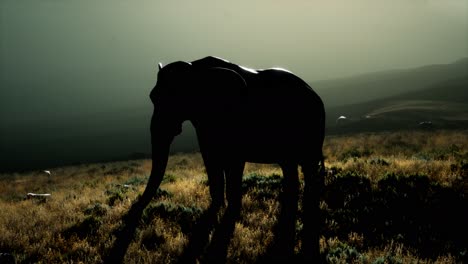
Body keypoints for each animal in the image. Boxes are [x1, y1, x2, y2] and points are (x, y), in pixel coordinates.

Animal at [139, 56, 324, 260]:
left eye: (177, 97)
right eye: (153, 97)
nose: (138, 204)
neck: (196, 68)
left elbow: (234, 163)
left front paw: (230, 216)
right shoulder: (203, 125)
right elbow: (211, 162)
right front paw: (215, 210)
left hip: (313, 128)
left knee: (308, 168)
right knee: (289, 168)